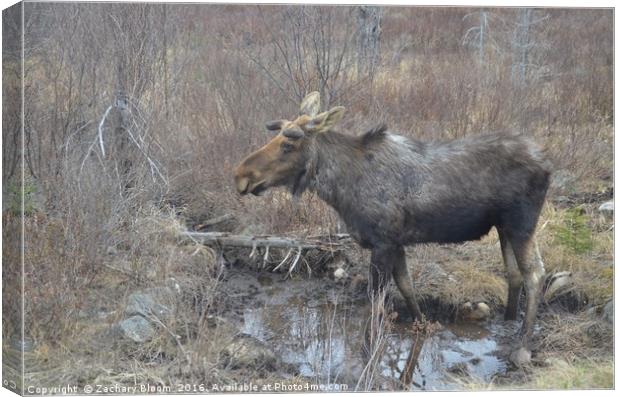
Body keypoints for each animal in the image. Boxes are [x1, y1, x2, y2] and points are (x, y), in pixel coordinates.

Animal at [235, 91, 548, 364]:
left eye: (288, 145)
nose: (241, 175)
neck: (340, 188)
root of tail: (548, 164)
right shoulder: (395, 243)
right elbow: (407, 287)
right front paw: (422, 324)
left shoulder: (382, 243)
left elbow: (375, 303)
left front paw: (366, 353)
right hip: (503, 226)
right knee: (514, 274)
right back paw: (508, 324)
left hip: (521, 223)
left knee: (535, 274)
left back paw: (522, 346)